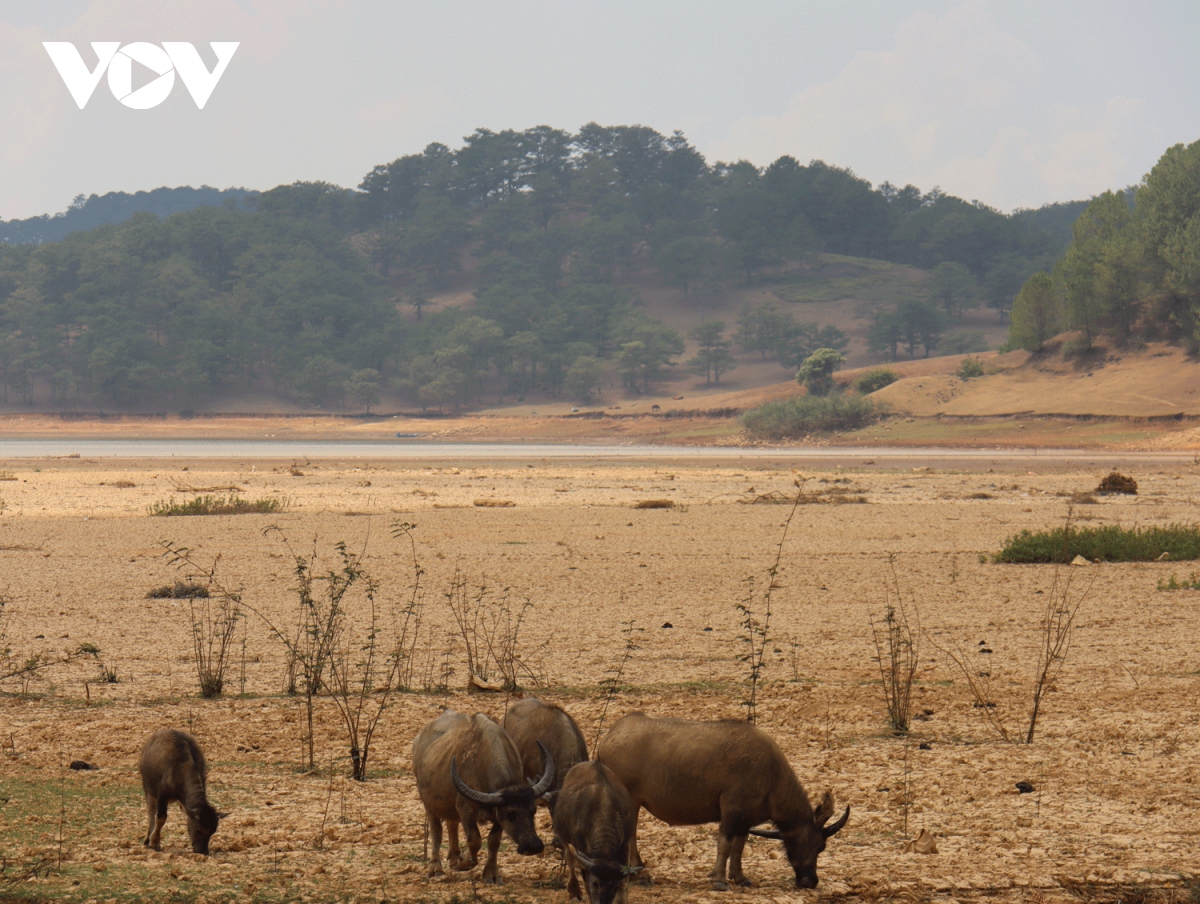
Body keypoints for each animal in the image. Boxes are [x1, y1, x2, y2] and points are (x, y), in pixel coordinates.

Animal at [137, 725, 224, 854]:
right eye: (198, 830)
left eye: (212, 831)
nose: (203, 851)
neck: (180, 769)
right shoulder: (162, 794)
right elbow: (161, 818)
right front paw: (154, 843)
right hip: (148, 789)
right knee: (151, 812)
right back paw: (147, 840)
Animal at [415, 705, 554, 883]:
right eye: (511, 813)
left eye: (533, 810)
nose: (533, 846)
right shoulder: (465, 808)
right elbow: (474, 840)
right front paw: (464, 863)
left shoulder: (497, 814)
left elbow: (494, 841)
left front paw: (491, 874)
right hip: (429, 804)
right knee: (436, 831)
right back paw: (436, 868)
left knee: (451, 823)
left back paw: (454, 857)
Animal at [552, 763, 643, 902]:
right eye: (595, 883)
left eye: (614, 886)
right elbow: (586, 881)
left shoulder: (624, 847)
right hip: (565, 838)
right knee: (569, 856)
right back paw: (574, 891)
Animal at [595, 710, 849, 888]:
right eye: (821, 845)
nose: (811, 881)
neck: (770, 774)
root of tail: (610, 736)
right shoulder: (731, 809)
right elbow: (725, 844)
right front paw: (719, 879)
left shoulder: (745, 818)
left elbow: (739, 846)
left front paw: (740, 877)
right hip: (631, 801)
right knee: (629, 837)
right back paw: (639, 875)